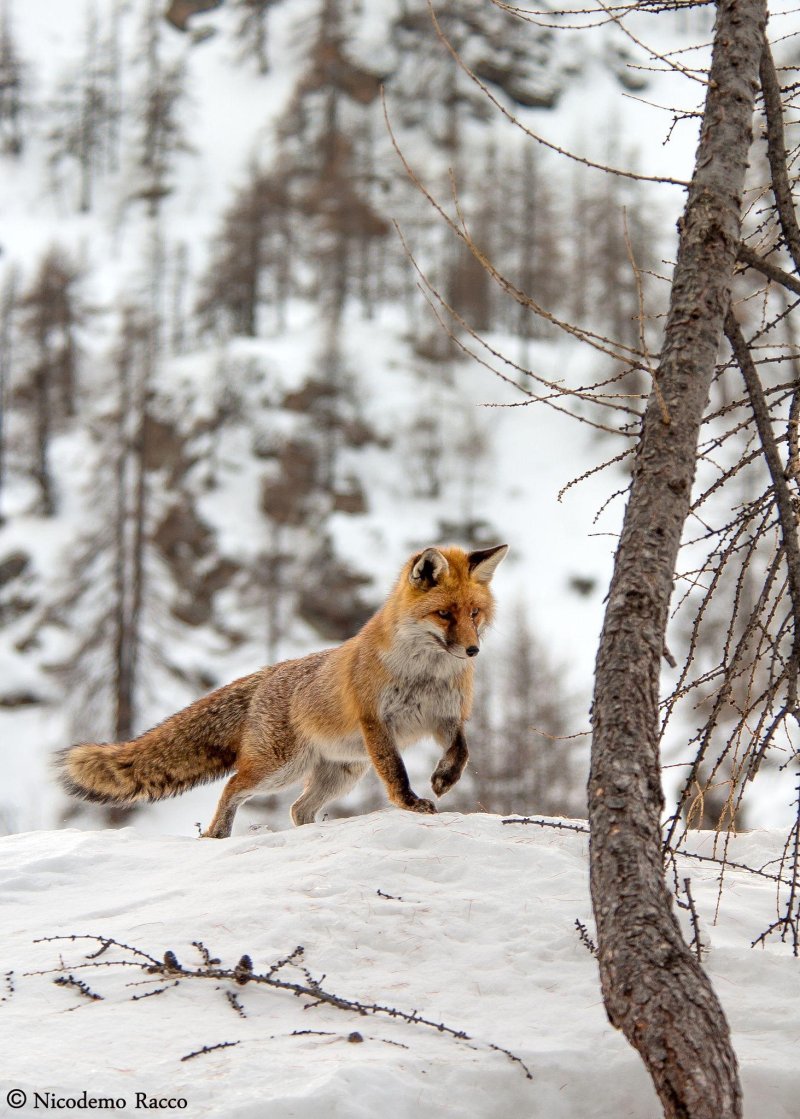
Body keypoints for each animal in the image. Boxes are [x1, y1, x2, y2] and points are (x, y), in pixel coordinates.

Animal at [57, 541, 507, 832]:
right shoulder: (376, 721)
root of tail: (269, 672)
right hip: (280, 768)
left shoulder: (444, 717)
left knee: (297, 809)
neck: (425, 675)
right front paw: (410, 805)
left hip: (340, 773)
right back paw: (216, 835)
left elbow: (462, 751)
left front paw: (445, 778)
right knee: (234, 787)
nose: (472, 650)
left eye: (474, 613)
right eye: (444, 614)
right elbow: (395, 772)